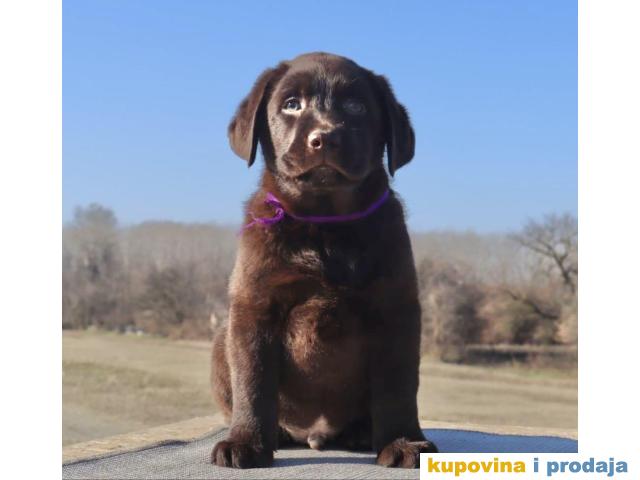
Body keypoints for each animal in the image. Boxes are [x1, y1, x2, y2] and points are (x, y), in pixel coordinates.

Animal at [210, 52, 437, 469]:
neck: (326, 225)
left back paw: (364, 433)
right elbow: (253, 379)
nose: (325, 138)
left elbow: (398, 385)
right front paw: (246, 441)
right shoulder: (255, 306)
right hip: (222, 342)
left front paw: (402, 441)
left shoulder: (395, 309)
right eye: (291, 104)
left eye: (356, 107)